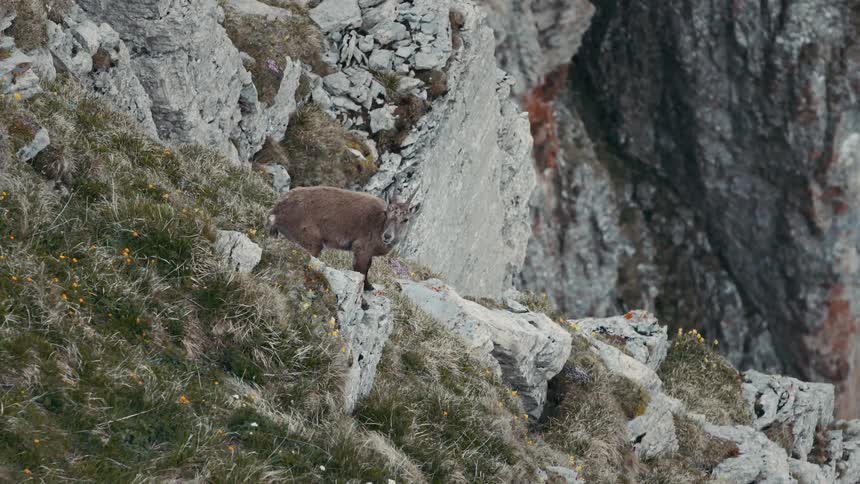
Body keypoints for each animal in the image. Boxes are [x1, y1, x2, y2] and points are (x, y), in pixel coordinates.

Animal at [268, 185, 417, 291]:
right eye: (387, 214)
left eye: (405, 219)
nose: (387, 236)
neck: (379, 225)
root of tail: (277, 210)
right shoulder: (361, 249)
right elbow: (361, 271)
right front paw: (363, 301)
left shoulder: (368, 253)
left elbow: (367, 268)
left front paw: (369, 286)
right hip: (311, 242)